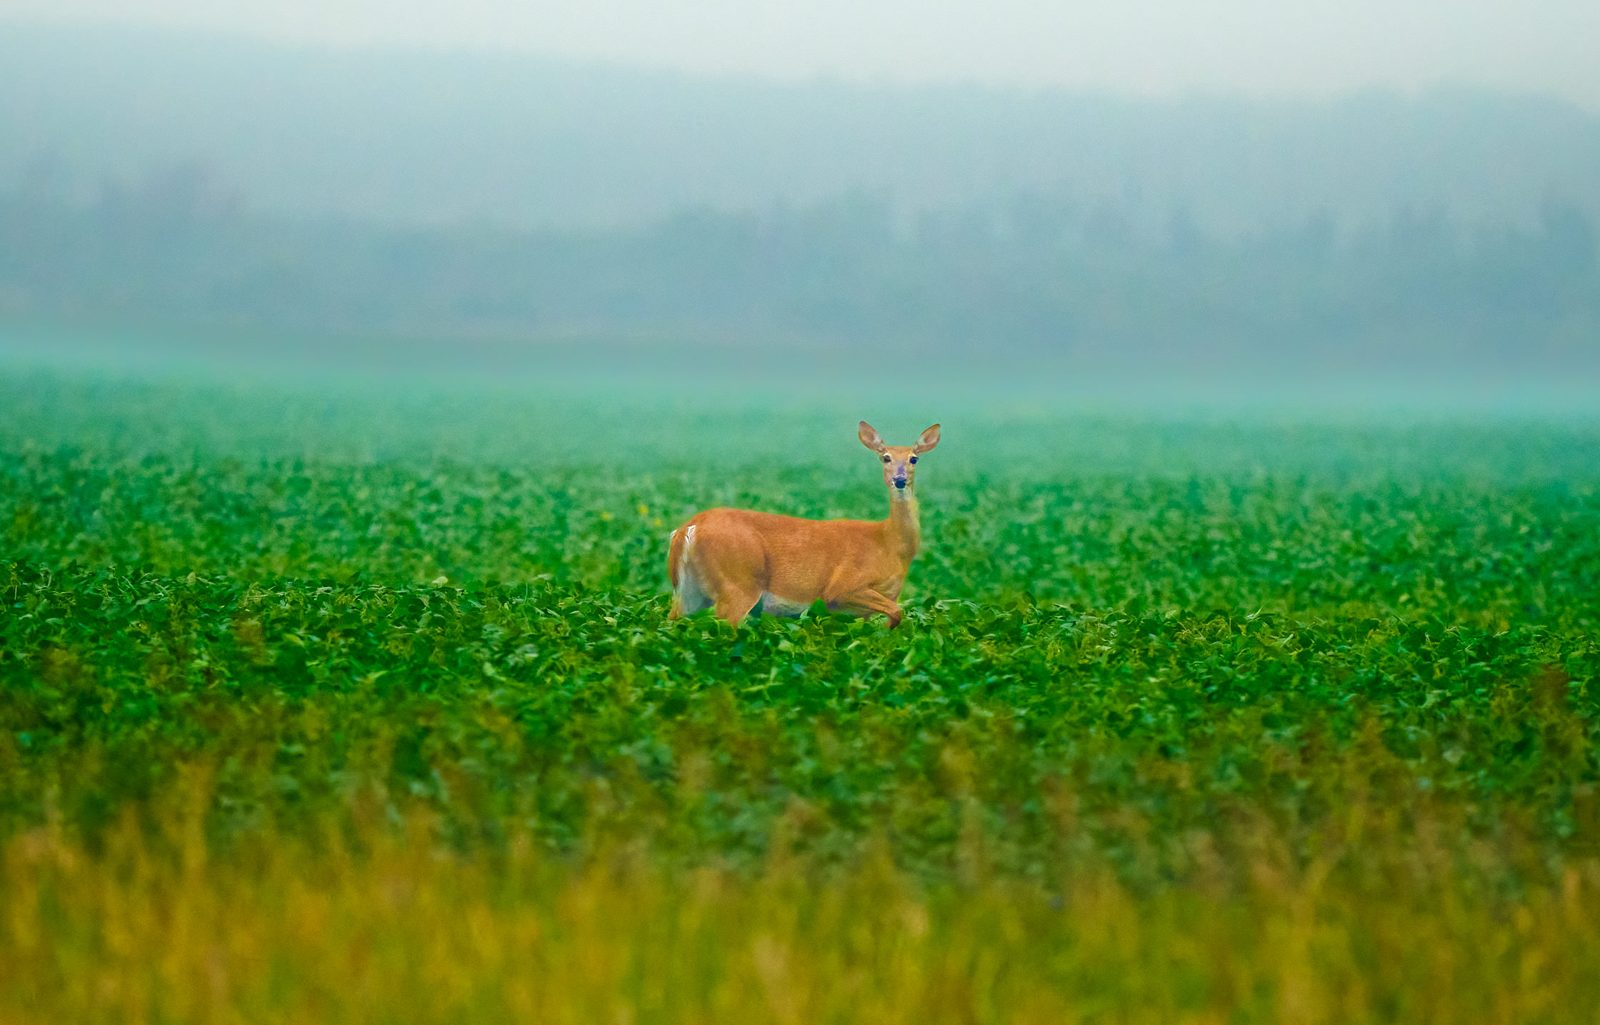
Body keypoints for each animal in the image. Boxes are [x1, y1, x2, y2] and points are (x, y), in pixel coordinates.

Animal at [667, 421, 941, 628]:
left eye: (914, 459)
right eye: (885, 457)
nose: (899, 480)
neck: (890, 542)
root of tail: (689, 528)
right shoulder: (842, 588)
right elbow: (896, 612)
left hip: (690, 591)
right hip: (738, 583)